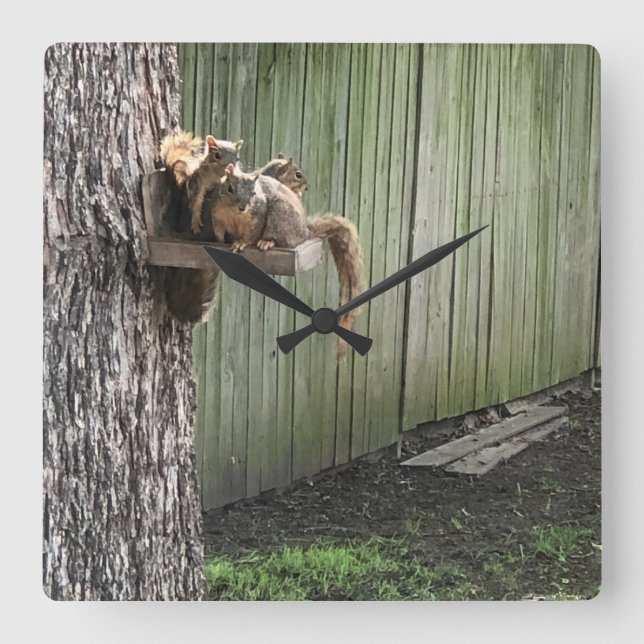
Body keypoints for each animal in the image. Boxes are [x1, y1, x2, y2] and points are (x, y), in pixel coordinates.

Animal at [213, 164, 365, 351]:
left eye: (254, 193)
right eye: (229, 188)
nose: (242, 207)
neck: (234, 214)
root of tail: (305, 231)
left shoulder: (258, 215)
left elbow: (252, 234)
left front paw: (242, 243)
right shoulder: (217, 216)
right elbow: (219, 232)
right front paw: (219, 240)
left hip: (280, 216)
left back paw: (267, 242)